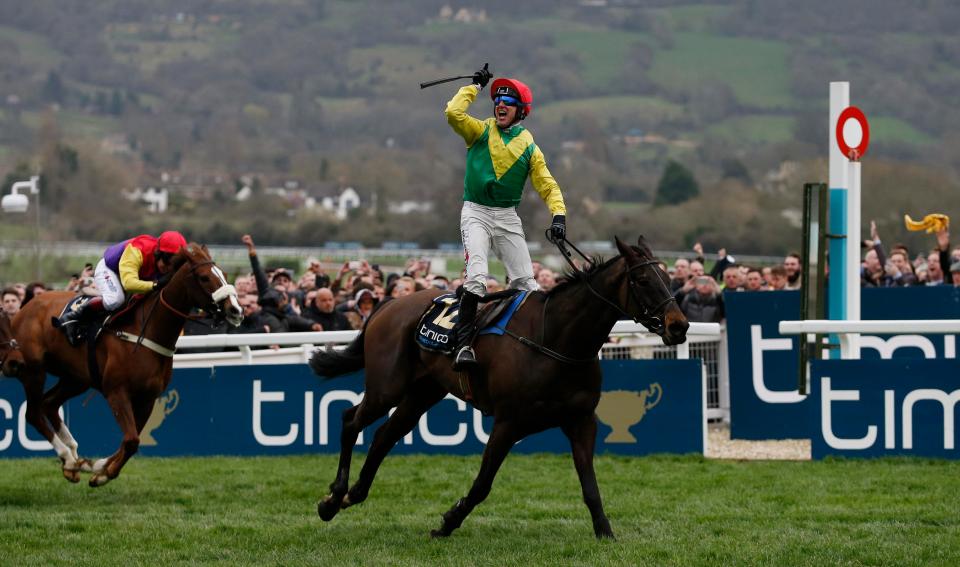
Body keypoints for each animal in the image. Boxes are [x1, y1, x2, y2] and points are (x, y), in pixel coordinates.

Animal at [9, 242, 242, 486]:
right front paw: (102, 471)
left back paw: (73, 458)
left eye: (224, 275)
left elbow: (132, 439)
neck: (145, 332)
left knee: (49, 404)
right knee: (33, 412)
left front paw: (99, 468)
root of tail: (24, 309)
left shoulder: (148, 397)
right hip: (33, 370)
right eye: (205, 277)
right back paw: (69, 457)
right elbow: (131, 440)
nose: (236, 310)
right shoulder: (116, 392)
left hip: (76, 378)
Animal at [312, 237, 688, 540]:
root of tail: (389, 304)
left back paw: (353, 494)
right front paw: (447, 522)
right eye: (642, 280)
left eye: (669, 278)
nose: (679, 326)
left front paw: (605, 532)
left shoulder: (581, 421)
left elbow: (590, 484)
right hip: (386, 387)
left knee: (384, 435)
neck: (555, 339)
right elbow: (482, 484)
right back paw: (333, 498)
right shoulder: (509, 422)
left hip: (423, 392)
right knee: (351, 420)